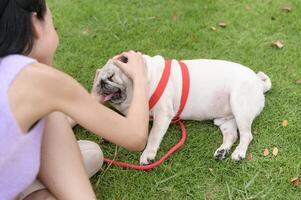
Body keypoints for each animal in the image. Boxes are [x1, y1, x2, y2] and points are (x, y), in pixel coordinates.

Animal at [91, 54, 270, 165]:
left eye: (111, 76)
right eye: (98, 79)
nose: (101, 84)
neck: (147, 78)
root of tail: (259, 83)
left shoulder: (163, 115)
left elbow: (153, 136)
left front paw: (148, 154)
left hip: (240, 106)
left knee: (246, 135)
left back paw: (239, 153)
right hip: (224, 120)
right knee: (232, 135)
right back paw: (222, 151)